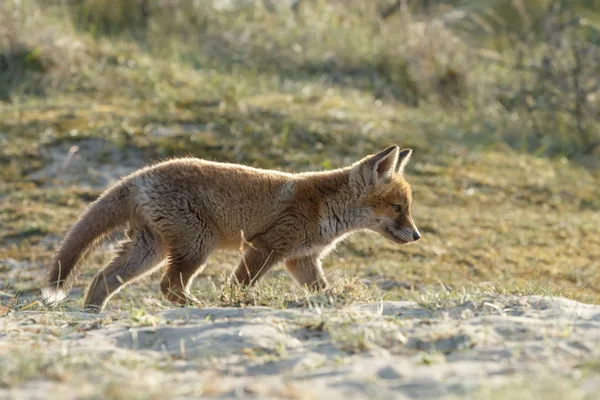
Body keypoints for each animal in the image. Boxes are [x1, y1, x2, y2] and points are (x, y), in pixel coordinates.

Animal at [41, 145, 422, 310]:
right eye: (398, 208)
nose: (417, 235)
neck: (325, 208)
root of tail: (138, 176)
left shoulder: (300, 259)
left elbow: (322, 289)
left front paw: (337, 299)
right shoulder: (265, 247)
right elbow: (239, 285)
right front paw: (233, 303)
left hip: (150, 251)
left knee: (102, 279)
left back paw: (92, 316)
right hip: (197, 246)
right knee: (168, 286)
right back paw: (198, 306)